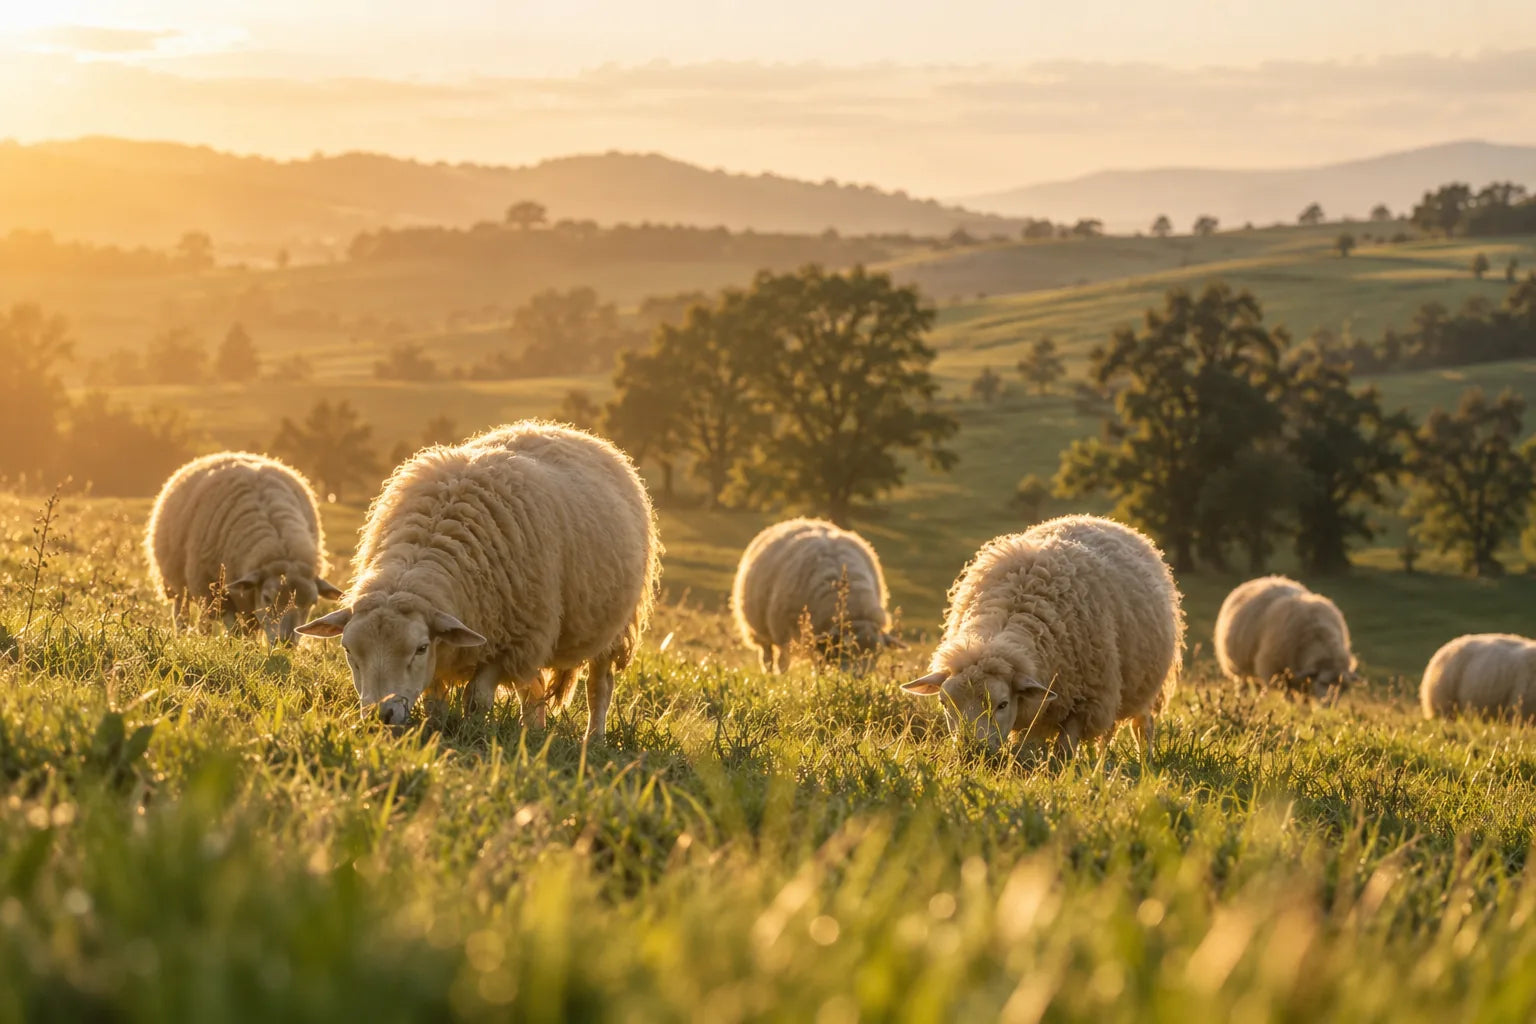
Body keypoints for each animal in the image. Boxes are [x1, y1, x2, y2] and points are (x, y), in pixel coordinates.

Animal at [145, 451, 343, 644]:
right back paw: (186, 636)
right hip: (177, 584)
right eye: (267, 598)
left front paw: (249, 648)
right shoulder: (211, 591)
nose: (286, 643)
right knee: (184, 613)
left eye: (312, 603)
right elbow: (230, 626)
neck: (280, 550)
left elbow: (250, 631)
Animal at [296, 421, 661, 737]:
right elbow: (435, 702)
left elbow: (477, 699)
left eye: (419, 648)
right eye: (347, 650)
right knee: (535, 689)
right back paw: (534, 733)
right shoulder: (453, 646)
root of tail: (568, 431)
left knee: (599, 686)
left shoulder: (511, 642)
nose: (381, 717)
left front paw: (472, 734)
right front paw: (436, 729)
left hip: (614, 627)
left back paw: (593, 740)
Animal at [730, 517, 900, 673]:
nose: (859, 677)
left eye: (878, 653)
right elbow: (786, 661)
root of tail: (799, 520)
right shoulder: (785, 633)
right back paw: (771, 674)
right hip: (759, 631)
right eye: (846, 649)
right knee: (768, 656)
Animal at [900, 514, 1184, 758]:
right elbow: (1027, 746)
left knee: (1142, 726)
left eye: (1003, 704)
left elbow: (1066, 749)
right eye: (944, 703)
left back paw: (1145, 760)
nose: (971, 752)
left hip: (1145, 686)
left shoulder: (1086, 704)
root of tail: (1101, 519)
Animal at [1214, 576, 1357, 697]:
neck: (1317, 637)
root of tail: (1263, 578)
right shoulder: (1275, 671)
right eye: (1323, 683)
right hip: (1236, 669)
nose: (1329, 708)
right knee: (1241, 685)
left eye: (1344, 688)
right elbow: (1288, 695)